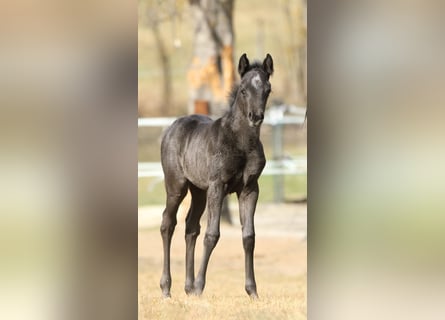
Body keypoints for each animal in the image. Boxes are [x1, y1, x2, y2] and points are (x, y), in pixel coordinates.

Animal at [158, 51, 272, 298]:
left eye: (267, 89)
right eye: (243, 90)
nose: (255, 116)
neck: (241, 143)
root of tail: (171, 127)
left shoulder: (250, 189)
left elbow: (249, 236)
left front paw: (252, 291)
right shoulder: (218, 186)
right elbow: (212, 234)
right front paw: (201, 287)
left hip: (199, 190)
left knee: (191, 227)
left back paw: (188, 288)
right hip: (176, 186)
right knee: (167, 224)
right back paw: (167, 288)